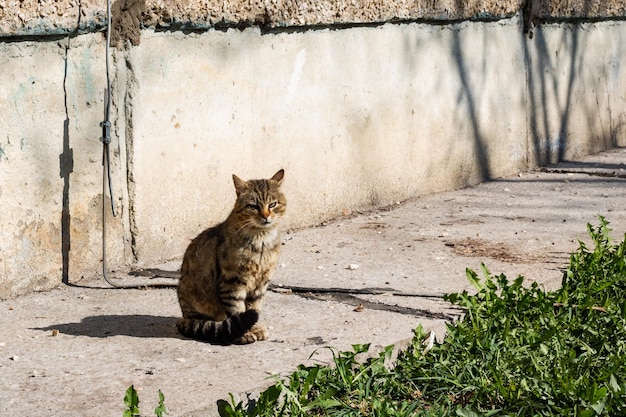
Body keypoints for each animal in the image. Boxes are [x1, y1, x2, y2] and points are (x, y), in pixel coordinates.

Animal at [174, 169, 284, 344]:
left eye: (272, 204)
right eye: (253, 206)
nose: (266, 216)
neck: (261, 241)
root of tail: (184, 318)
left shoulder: (260, 284)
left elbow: (254, 308)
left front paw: (255, 328)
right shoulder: (232, 283)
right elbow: (238, 311)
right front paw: (245, 333)